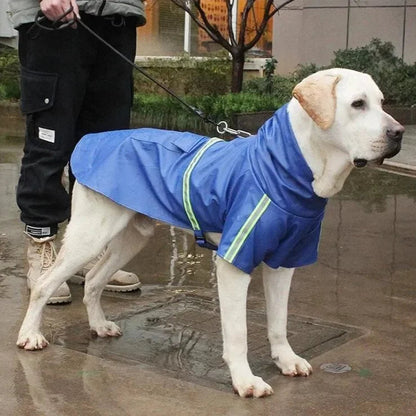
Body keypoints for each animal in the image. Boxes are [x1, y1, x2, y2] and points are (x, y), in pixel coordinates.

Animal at [17, 68, 404, 396]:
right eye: (358, 104)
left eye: (382, 102)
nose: (399, 133)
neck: (287, 167)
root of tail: (92, 140)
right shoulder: (234, 263)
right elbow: (238, 332)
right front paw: (245, 381)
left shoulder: (284, 262)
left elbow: (279, 322)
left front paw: (285, 359)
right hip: (90, 234)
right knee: (46, 283)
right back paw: (30, 334)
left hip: (131, 236)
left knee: (96, 278)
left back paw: (98, 325)